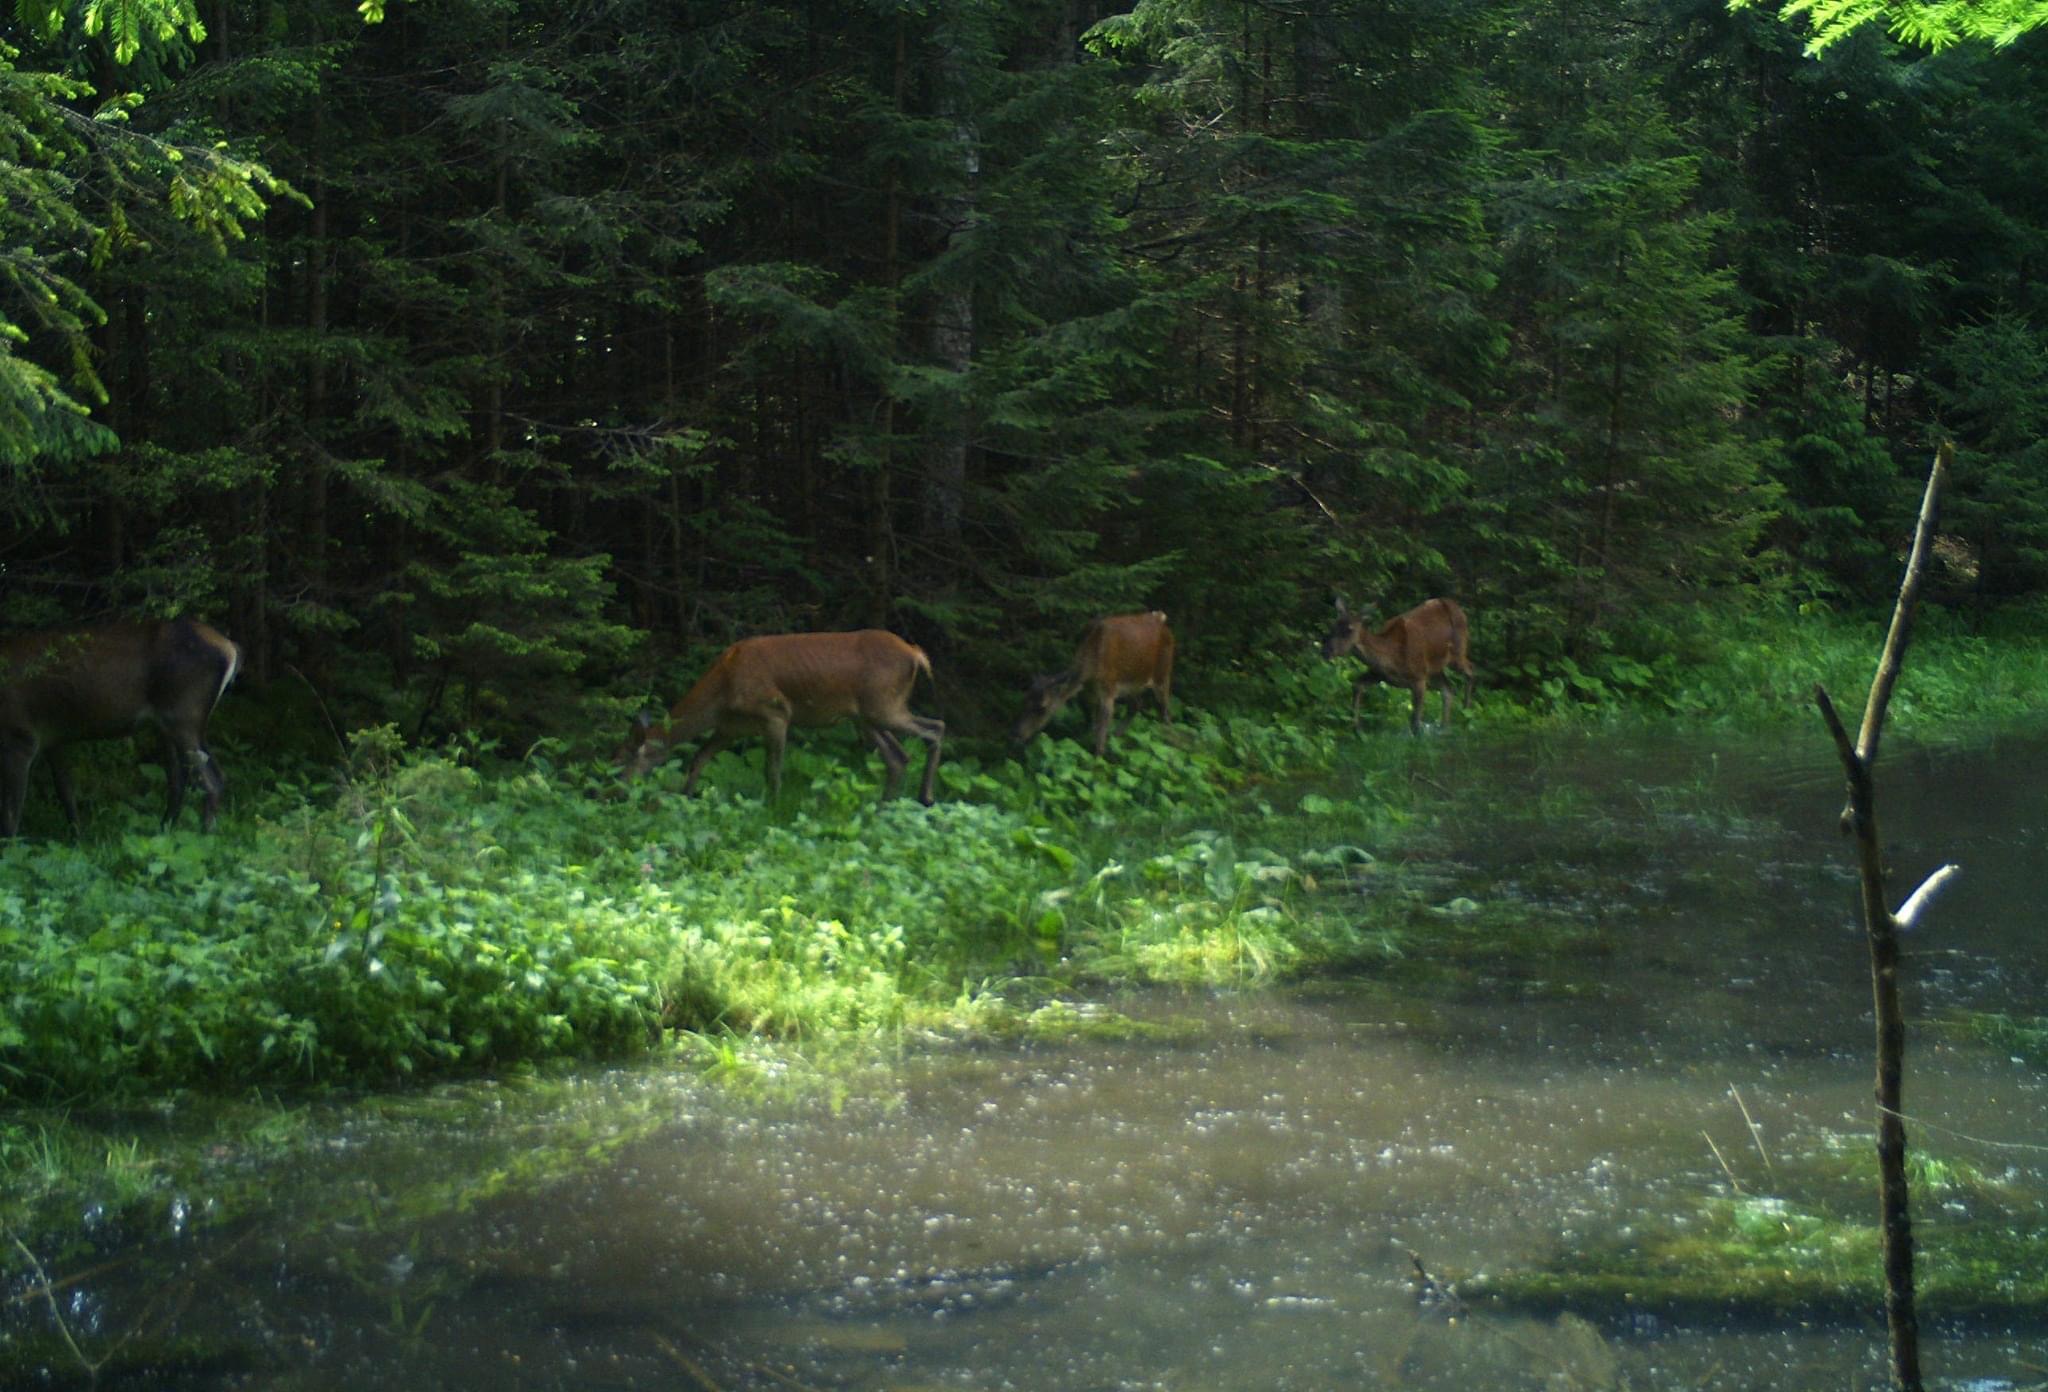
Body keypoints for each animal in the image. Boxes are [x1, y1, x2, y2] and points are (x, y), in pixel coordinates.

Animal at [2, 618, 243, 839]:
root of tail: (231, 648)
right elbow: (65, 790)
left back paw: (205, 837)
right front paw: (77, 839)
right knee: (179, 781)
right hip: (169, 726)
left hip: (184, 715)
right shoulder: (53, 738)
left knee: (212, 780)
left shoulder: (20, 735)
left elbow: (11, 814)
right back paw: (164, 833)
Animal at [618, 630, 946, 806]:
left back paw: (926, 797)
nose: (611, 792)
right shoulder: (731, 728)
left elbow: (772, 770)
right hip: (865, 717)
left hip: (883, 706)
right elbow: (699, 758)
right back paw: (884, 807)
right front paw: (686, 799)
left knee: (936, 727)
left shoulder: (775, 713)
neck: (723, 691)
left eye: (620, 762)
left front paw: (772, 808)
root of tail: (915, 654)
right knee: (898, 757)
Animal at [1011, 610, 1179, 757]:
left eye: (1042, 708)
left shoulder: (1108, 688)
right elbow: (1089, 721)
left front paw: (1097, 759)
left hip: (1163, 674)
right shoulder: (1087, 690)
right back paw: (1116, 737)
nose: (1016, 734)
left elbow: (1100, 733)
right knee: (1136, 705)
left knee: (1165, 712)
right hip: (1133, 684)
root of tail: (1162, 620)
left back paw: (1169, 745)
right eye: (1024, 701)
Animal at [1327, 593, 1474, 732]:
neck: (1393, 659)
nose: (1326, 650)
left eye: (1349, 630)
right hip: (1436, 669)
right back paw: (1445, 727)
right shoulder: (1379, 674)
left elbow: (1415, 723)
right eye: (1333, 626)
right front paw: (1356, 728)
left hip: (1458, 652)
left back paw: (1465, 718)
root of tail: (1456, 606)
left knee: (1471, 671)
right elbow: (1357, 685)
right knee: (1448, 689)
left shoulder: (1419, 677)